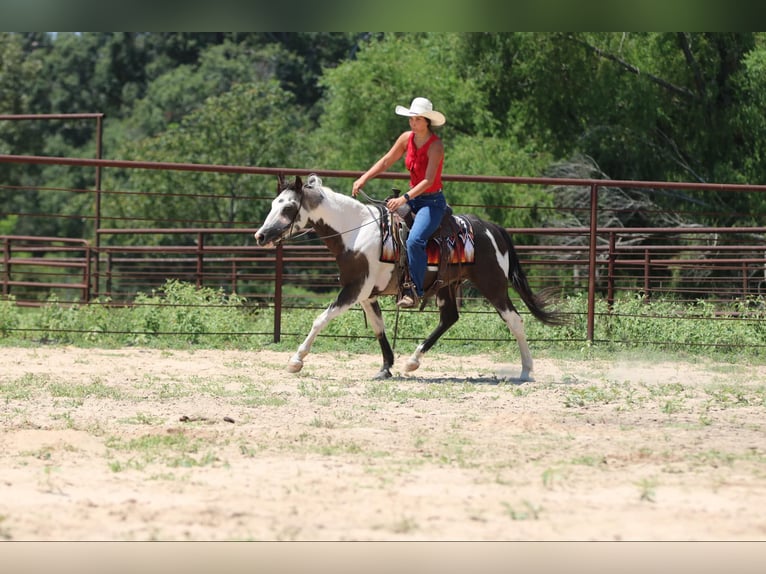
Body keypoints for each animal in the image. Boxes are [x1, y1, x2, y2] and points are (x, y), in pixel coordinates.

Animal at [254, 174, 565, 381]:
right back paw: (413, 361)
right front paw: (386, 367)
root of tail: (491, 228)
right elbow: (378, 326)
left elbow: (321, 319)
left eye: (288, 208)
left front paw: (296, 360)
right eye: (272, 204)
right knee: (449, 318)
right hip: (447, 285)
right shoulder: (366, 293)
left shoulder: (354, 290)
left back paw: (526, 370)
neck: (355, 231)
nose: (260, 236)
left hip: (493, 285)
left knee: (515, 320)